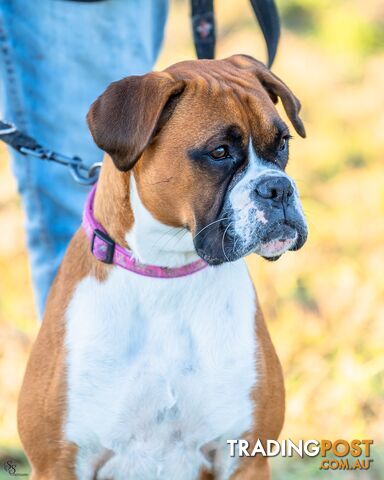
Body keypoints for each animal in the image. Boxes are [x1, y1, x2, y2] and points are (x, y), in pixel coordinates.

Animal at [18, 54, 308, 478]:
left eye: (282, 143)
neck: (167, 272)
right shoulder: (56, 464)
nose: (278, 188)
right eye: (219, 152)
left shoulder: (246, 458)